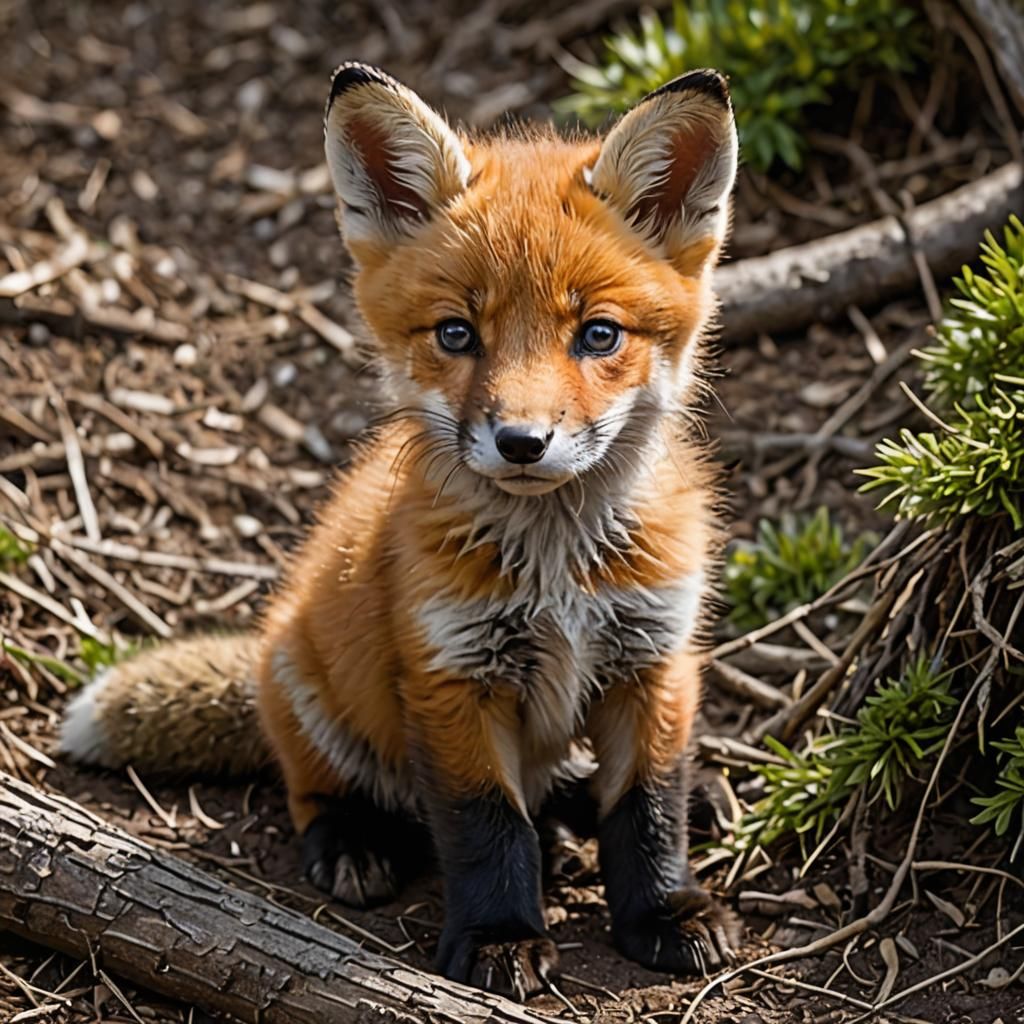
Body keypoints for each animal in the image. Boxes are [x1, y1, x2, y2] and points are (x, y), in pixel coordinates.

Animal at [60, 62, 741, 998]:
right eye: (457, 333)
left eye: (598, 334)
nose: (522, 441)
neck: (556, 569)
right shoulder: (451, 674)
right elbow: (487, 826)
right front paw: (498, 937)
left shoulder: (654, 656)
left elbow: (647, 807)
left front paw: (665, 911)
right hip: (313, 692)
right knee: (319, 790)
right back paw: (358, 840)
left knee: (572, 787)